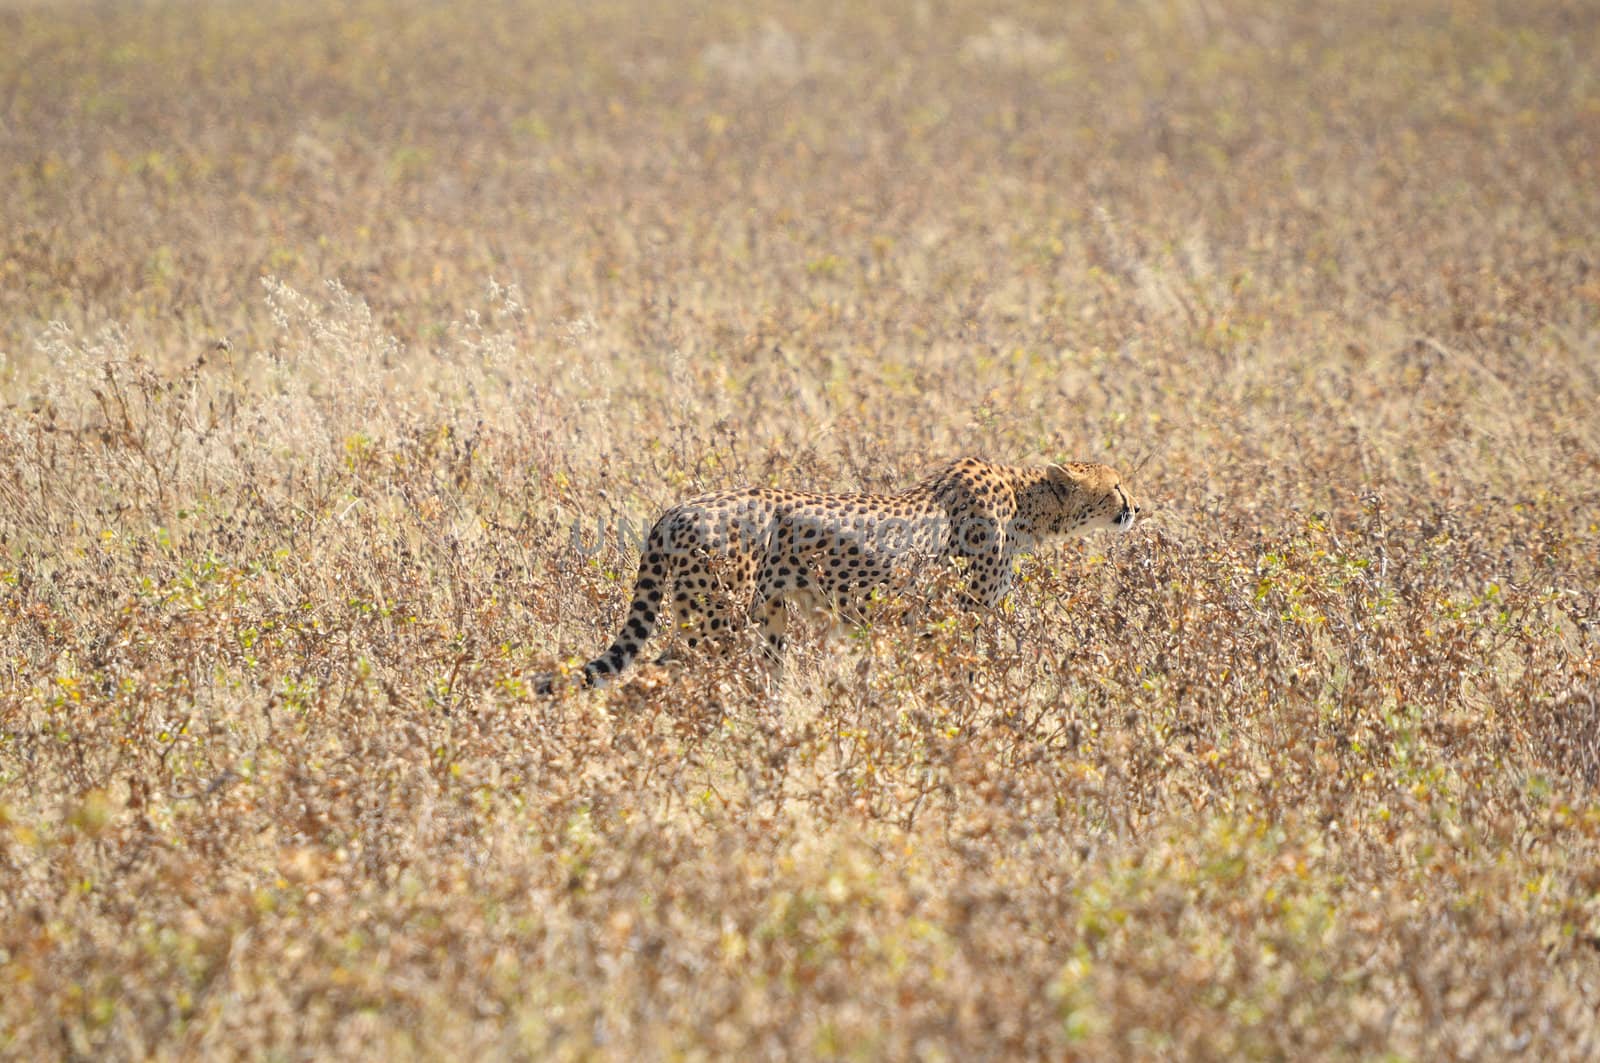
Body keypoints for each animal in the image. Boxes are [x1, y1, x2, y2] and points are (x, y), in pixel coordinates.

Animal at [537, 454, 1139, 688]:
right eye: (1115, 485)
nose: (1136, 506)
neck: (1023, 502)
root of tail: (677, 509)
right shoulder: (959, 616)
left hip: (765, 619)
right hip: (716, 621)